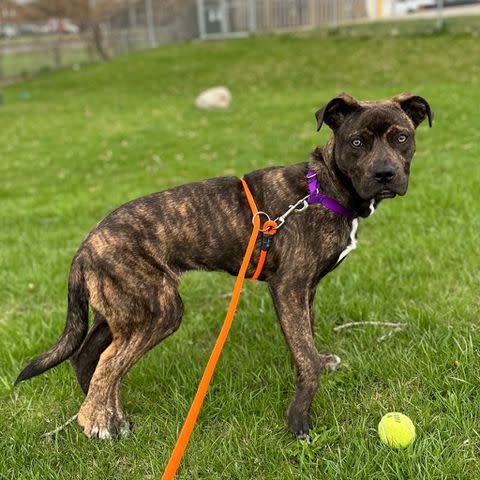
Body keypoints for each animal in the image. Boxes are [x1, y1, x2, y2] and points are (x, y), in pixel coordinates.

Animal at [16, 93, 434, 438]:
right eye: (357, 142)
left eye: (401, 138)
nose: (385, 175)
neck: (323, 189)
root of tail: (84, 247)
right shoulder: (289, 287)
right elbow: (305, 359)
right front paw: (299, 420)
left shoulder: (307, 291)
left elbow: (307, 344)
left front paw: (317, 363)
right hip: (159, 310)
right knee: (107, 364)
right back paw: (97, 421)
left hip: (124, 309)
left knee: (90, 356)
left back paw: (107, 414)